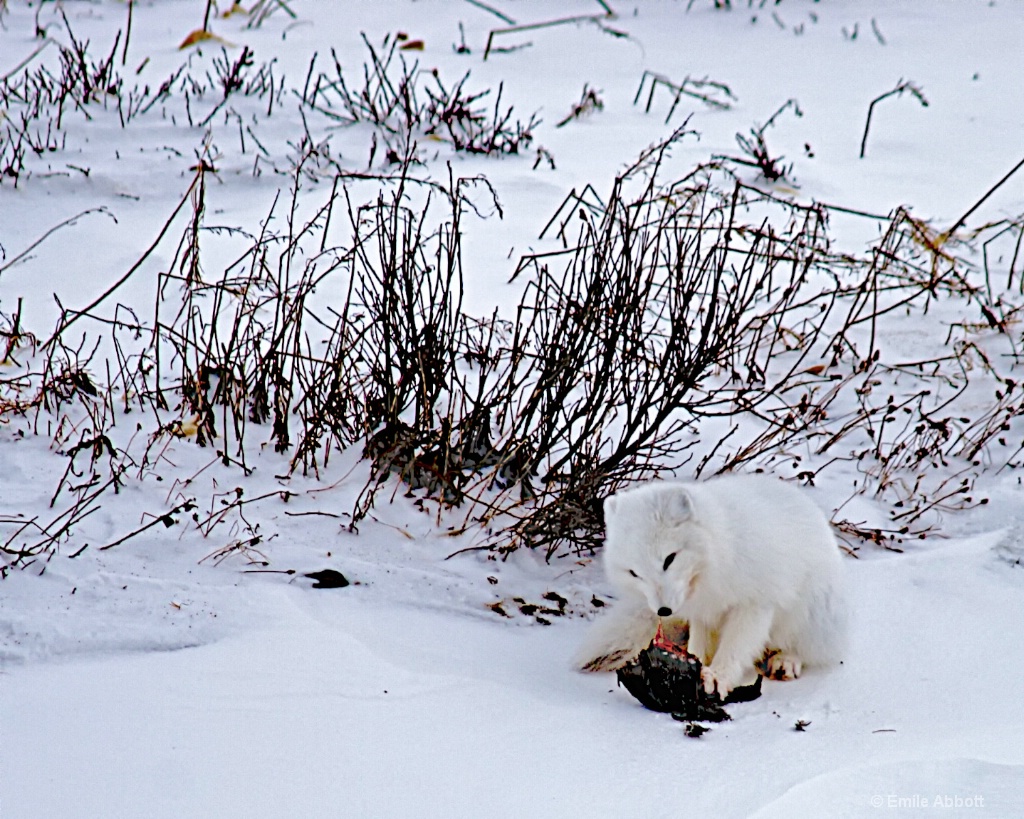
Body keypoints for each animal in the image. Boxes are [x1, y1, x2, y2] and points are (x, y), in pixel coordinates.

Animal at [577, 472, 847, 696]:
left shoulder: (755, 605)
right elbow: (698, 645)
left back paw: (786, 660)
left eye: (669, 559)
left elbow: (736, 648)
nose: (663, 610)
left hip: (811, 613)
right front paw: (695, 666)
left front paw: (718, 677)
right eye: (634, 573)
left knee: (804, 647)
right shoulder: (703, 613)